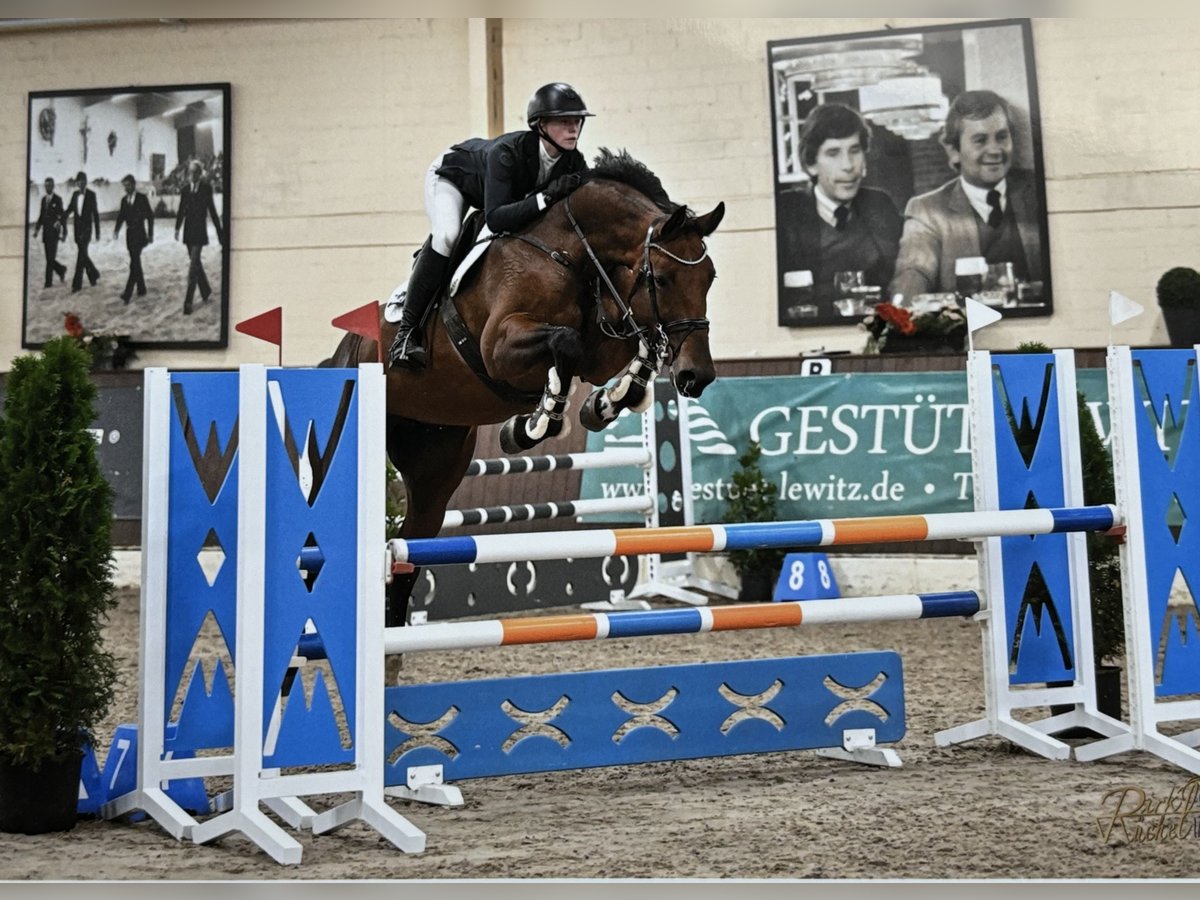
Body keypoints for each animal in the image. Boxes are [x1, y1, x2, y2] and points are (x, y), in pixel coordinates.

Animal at [328, 150, 720, 628]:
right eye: (662, 279)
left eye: (710, 278)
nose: (698, 376)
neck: (568, 251)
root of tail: (349, 347)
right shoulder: (500, 347)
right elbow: (564, 344)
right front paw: (536, 423)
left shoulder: (601, 346)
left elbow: (630, 347)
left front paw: (604, 403)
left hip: (434, 467)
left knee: (408, 555)